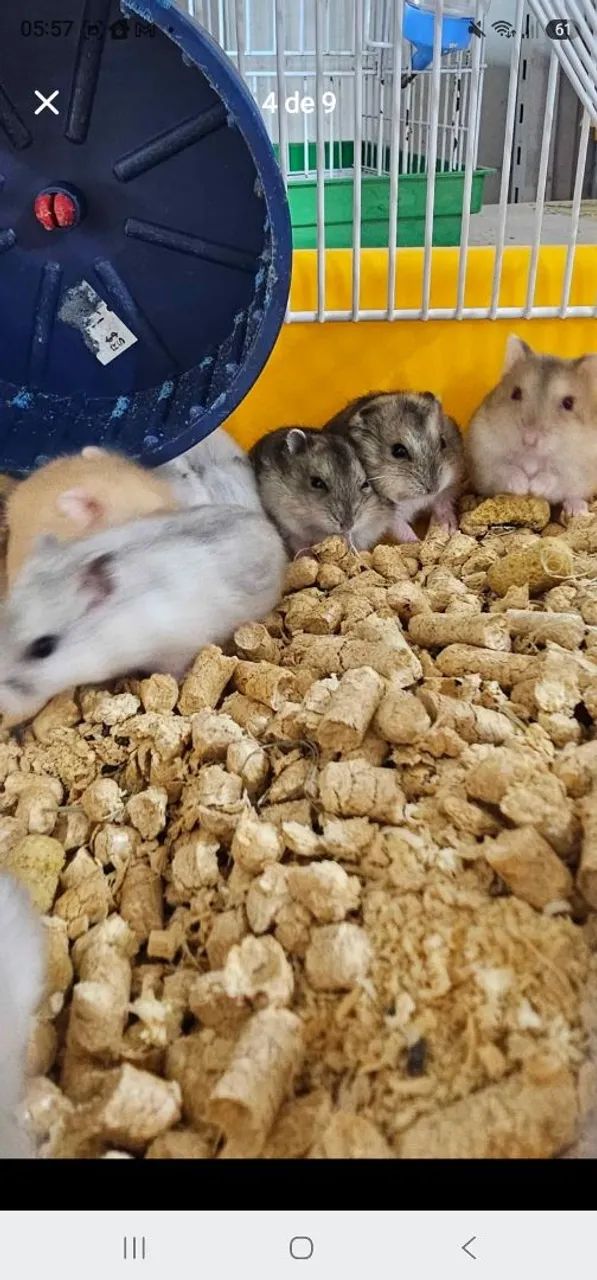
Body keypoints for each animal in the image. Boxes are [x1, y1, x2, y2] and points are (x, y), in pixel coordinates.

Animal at [325, 390, 465, 542]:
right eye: (398, 451)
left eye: (443, 442)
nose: (433, 489)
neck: (416, 499)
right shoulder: (389, 518)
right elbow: (402, 529)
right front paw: (418, 542)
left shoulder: (449, 487)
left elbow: (442, 503)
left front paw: (448, 527)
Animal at [466, 335, 597, 515]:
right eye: (515, 393)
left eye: (568, 403)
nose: (529, 440)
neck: (531, 456)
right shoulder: (484, 458)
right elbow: (505, 469)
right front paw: (523, 487)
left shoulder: (576, 469)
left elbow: (555, 476)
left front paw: (533, 487)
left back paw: (577, 510)